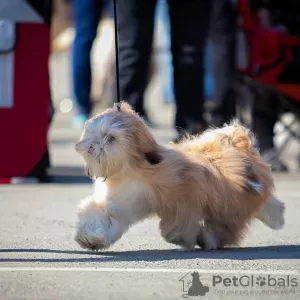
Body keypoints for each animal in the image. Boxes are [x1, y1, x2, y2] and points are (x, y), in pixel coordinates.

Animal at [74, 102, 284, 250]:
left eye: (110, 138)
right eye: (91, 133)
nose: (91, 147)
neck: (129, 170)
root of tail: (236, 141)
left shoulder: (183, 202)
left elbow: (178, 225)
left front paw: (183, 238)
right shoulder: (120, 205)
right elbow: (103, 219)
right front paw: (91, 239)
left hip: (230, 201)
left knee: (233, 220)